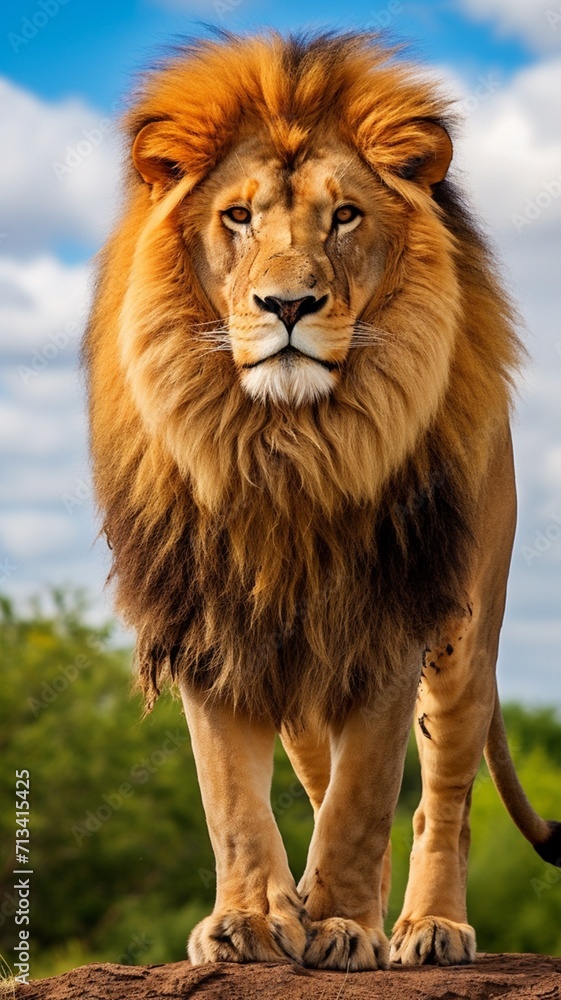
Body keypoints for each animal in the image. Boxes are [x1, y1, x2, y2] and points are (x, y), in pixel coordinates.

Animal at [84, 31, 561, 971]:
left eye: (344, 216)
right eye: (237, 217)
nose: (289, 303)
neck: (284, 447)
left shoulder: (389, 619)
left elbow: (365, 795)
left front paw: (340, 925)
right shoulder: (211, 625)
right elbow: (233, 801)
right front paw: (252, 920)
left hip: (464, 639)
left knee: (440, 797)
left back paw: (426, 928)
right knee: (315, 777)